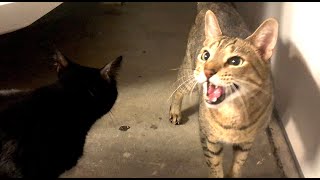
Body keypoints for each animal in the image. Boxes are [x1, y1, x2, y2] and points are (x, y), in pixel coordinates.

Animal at [170, 2, 278, 178]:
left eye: (235, 61)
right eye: (206, 55)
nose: (207, 71)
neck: (233, 112)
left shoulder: (246, 143)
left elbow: (238, 164)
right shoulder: (208, 138)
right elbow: (215, 165)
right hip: (188, 73)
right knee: (177, 87)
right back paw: (175, 111)